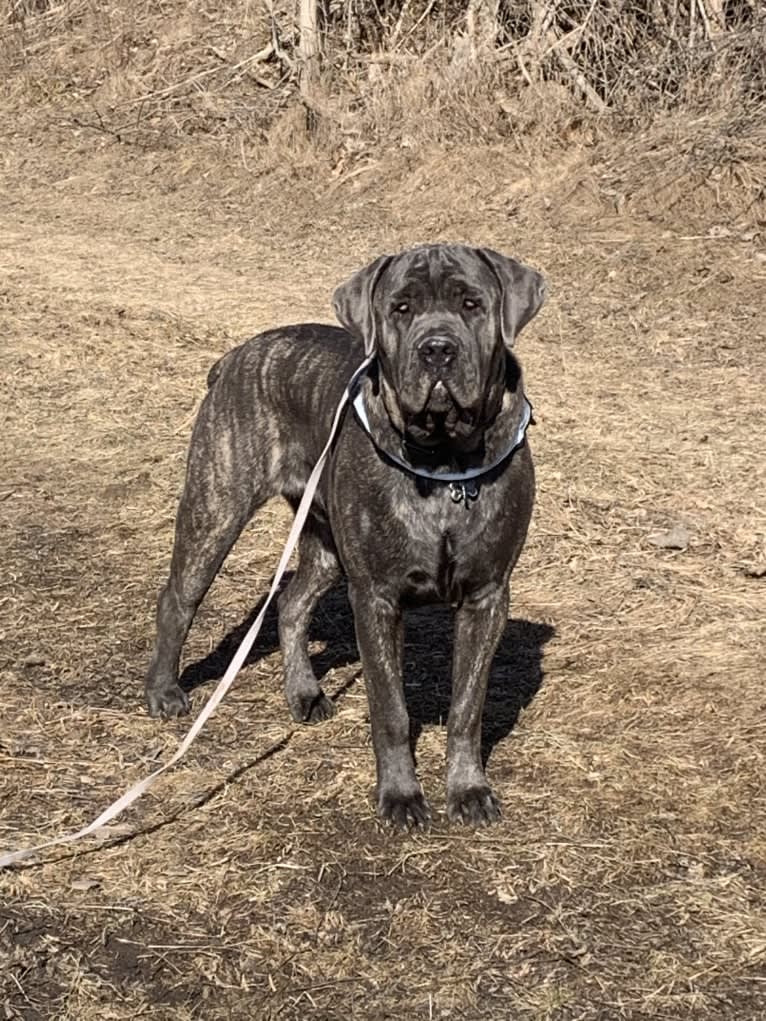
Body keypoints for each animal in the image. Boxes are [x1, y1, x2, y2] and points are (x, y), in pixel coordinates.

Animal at [145, 245, 547, 829]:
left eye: (472, 304)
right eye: (401, 308)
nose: (437, 349)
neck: (445, 460)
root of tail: (234, 357)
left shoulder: (486, 596)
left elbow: (467, 708)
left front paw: (469, 790)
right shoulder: (376, 597)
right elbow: (391, 709)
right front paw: (401, 797)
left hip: (325, 540)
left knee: (291, 602)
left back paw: (304, 693)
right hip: (216, 509)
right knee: (177, 599)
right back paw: (164, 692)